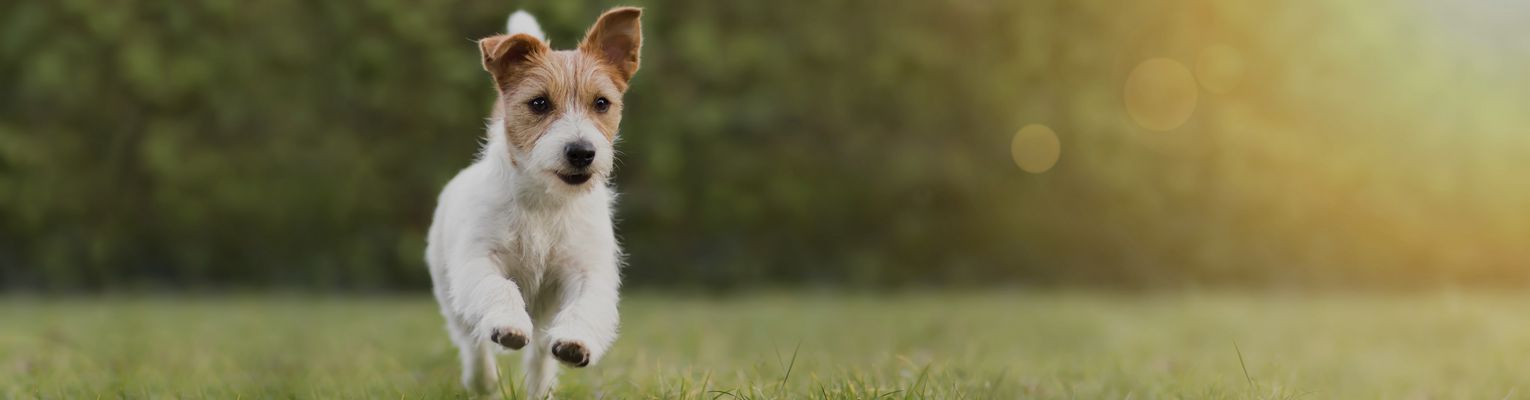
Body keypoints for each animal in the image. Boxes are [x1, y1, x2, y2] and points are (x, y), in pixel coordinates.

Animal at [428, 7, 642, 395]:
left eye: (601, 103)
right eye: (539, 103)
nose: (581, 152)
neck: (546, 202)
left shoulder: (586, 270)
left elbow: (584, 306)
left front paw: (575, 342)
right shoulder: (479, 262)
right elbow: (500, 288)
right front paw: (509, 326)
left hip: (545, 317)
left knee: (541, 354)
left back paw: (540, 390)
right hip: (450, 291)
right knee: (471, 339)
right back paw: (482, 381)